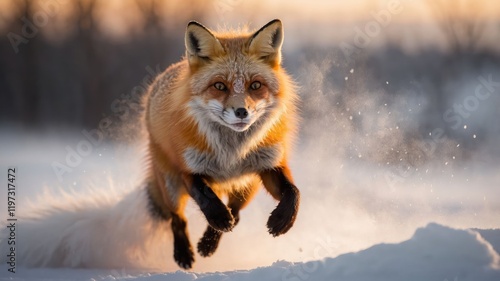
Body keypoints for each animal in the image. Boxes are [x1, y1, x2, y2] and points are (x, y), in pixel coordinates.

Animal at [145, 18, 300, 268]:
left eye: (255, 85)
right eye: (219, 86)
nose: (241, 112)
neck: (231, 153)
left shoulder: (270, 164)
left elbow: (293, 192)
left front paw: (283, 219)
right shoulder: (189, 169)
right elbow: (207, 197)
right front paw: (217, 217)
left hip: (247, 185)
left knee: (235, 213)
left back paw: (209, 242)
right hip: (170, 184)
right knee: (177, 218)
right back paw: (185, 252)